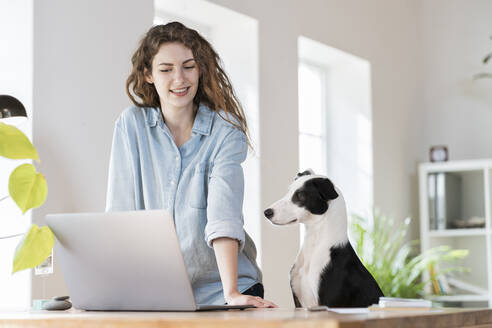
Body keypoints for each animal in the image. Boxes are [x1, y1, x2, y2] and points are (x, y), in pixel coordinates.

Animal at [264, 170, 382, 308]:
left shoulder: (327, 303)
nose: (267, 212)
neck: (314, 244)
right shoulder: (298, 301)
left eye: (301, 195)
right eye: (288, 191)